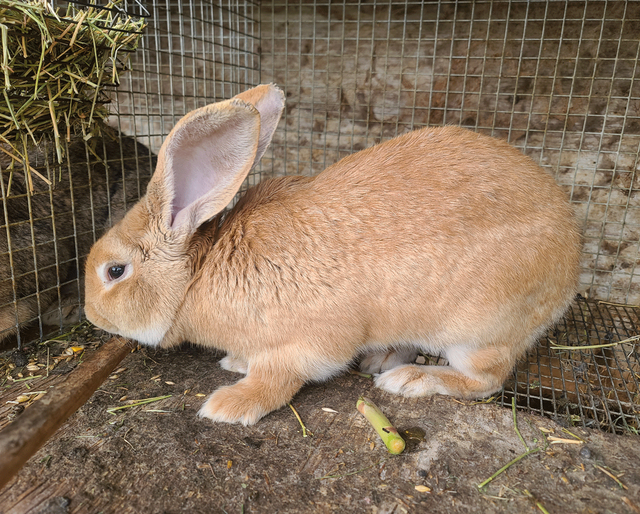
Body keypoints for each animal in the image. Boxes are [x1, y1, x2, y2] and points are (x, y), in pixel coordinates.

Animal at [83, 84, 582, 425]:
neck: (198, 275)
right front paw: (235, 362)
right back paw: (384, 359)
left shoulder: (309, 342)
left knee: (486, 380)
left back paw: (409, 379)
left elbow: (279, 377)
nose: (90, 315)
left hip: (477, 330)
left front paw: (229, 404)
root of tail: (572, 256)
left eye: (115, 270)